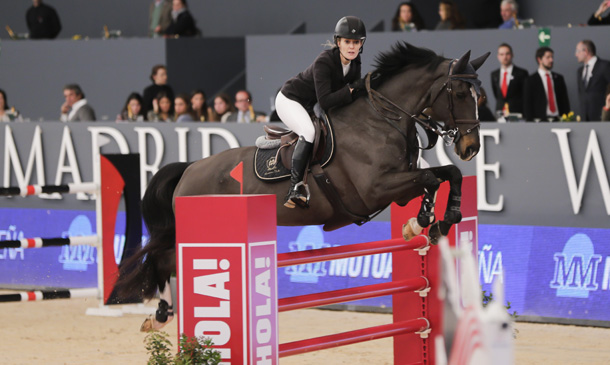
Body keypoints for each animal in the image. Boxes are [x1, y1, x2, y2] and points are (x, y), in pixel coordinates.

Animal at [116, 42, 490, 330]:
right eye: (459, 92)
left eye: (481, 95)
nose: (471, 147)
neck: (382, 119)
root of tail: (189, 169)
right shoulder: (375, 190)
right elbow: (432, 177)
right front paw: (429, 219)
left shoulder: (398, 186)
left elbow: (446, 175)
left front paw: (432, 221)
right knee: (163, 258)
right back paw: (160, 315)